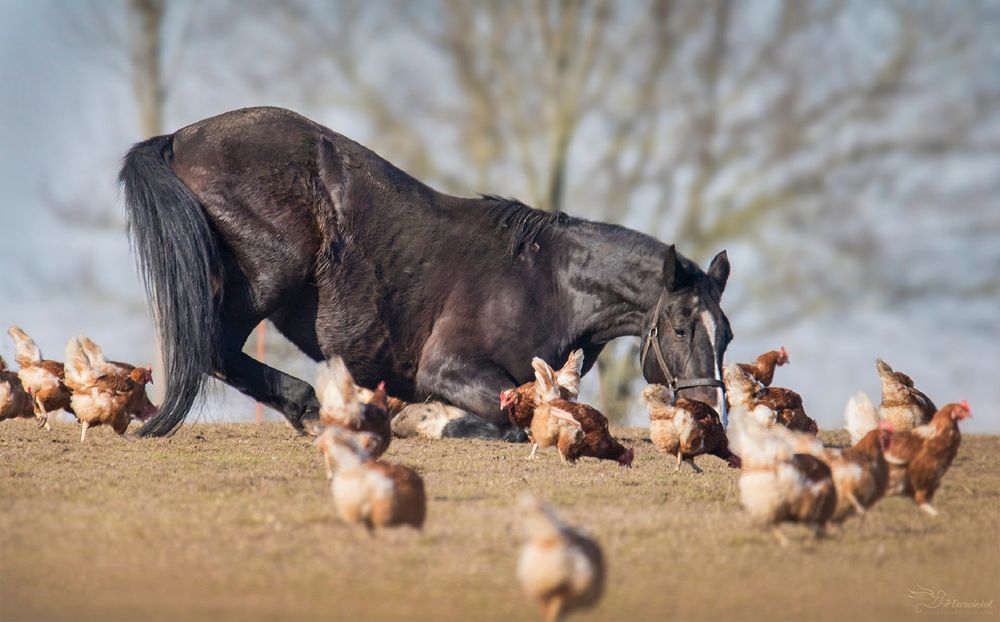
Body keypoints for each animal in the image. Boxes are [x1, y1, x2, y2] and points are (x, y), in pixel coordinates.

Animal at [119, 107, 736, 438]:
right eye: (681, 326)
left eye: (725, 335)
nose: (709, 411)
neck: (549, 281)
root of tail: (180, 138)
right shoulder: (450, 367)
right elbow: (509, 416)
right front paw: (431, 420)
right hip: (266, 280)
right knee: (215, 349)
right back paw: (313, 409)